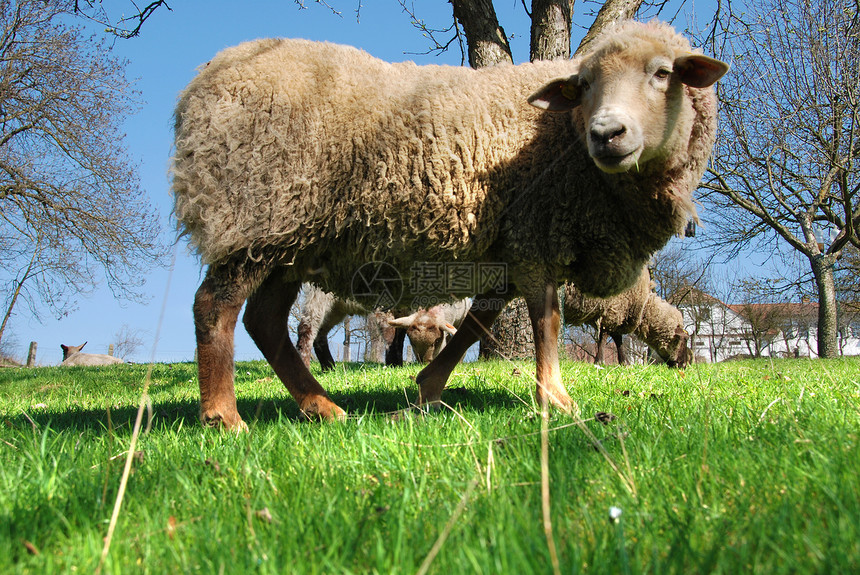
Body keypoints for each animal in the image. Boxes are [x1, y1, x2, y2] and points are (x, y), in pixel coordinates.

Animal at [564, 270, 692, 368]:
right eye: (685, 339)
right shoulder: (612, 311)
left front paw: (623, 362)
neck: (644, 307)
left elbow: (617, 339)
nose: (684, 365)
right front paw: (600, 361)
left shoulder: (616, 314)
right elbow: (605, 337)